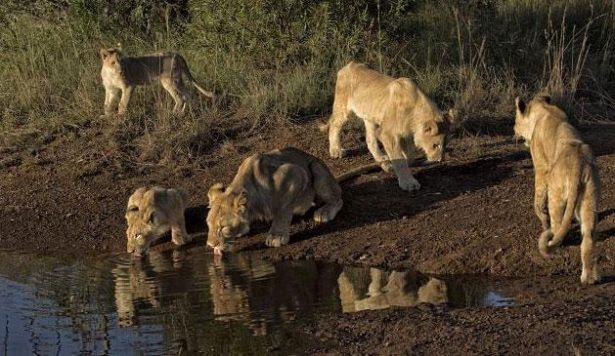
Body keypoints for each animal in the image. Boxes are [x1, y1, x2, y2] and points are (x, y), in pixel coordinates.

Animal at [206, 146, 342, 254]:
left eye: (223, 227)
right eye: (208, 224)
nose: (210, 245)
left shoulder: (296, 173)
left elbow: (283, 209)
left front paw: (277, 236)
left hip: (316, 168)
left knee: (338, 198)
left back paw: (324, 212)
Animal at [322, 62, 458, 193]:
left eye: (445, 144)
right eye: (435, 145)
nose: (439, 160)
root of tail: (349, 65)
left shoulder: (406, 133)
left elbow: (409, 154)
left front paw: (401, 162)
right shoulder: (387, 133)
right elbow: (399, 159)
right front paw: (408, 183)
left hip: (370, 117)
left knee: (370, 139)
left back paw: (382, 160)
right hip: (342, 106)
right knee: (334, 124)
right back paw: (336, 150)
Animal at [516, 94, 600, 284]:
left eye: (515, 121)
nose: (514, 131)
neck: (543, 108)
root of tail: (578, 164)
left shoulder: (541, 168)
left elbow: (538, 199)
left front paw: (542, 220)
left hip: (556, 192)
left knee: (556, 225)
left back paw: (552, 239)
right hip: (589, 197)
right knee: (588, 238)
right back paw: (589, 278)